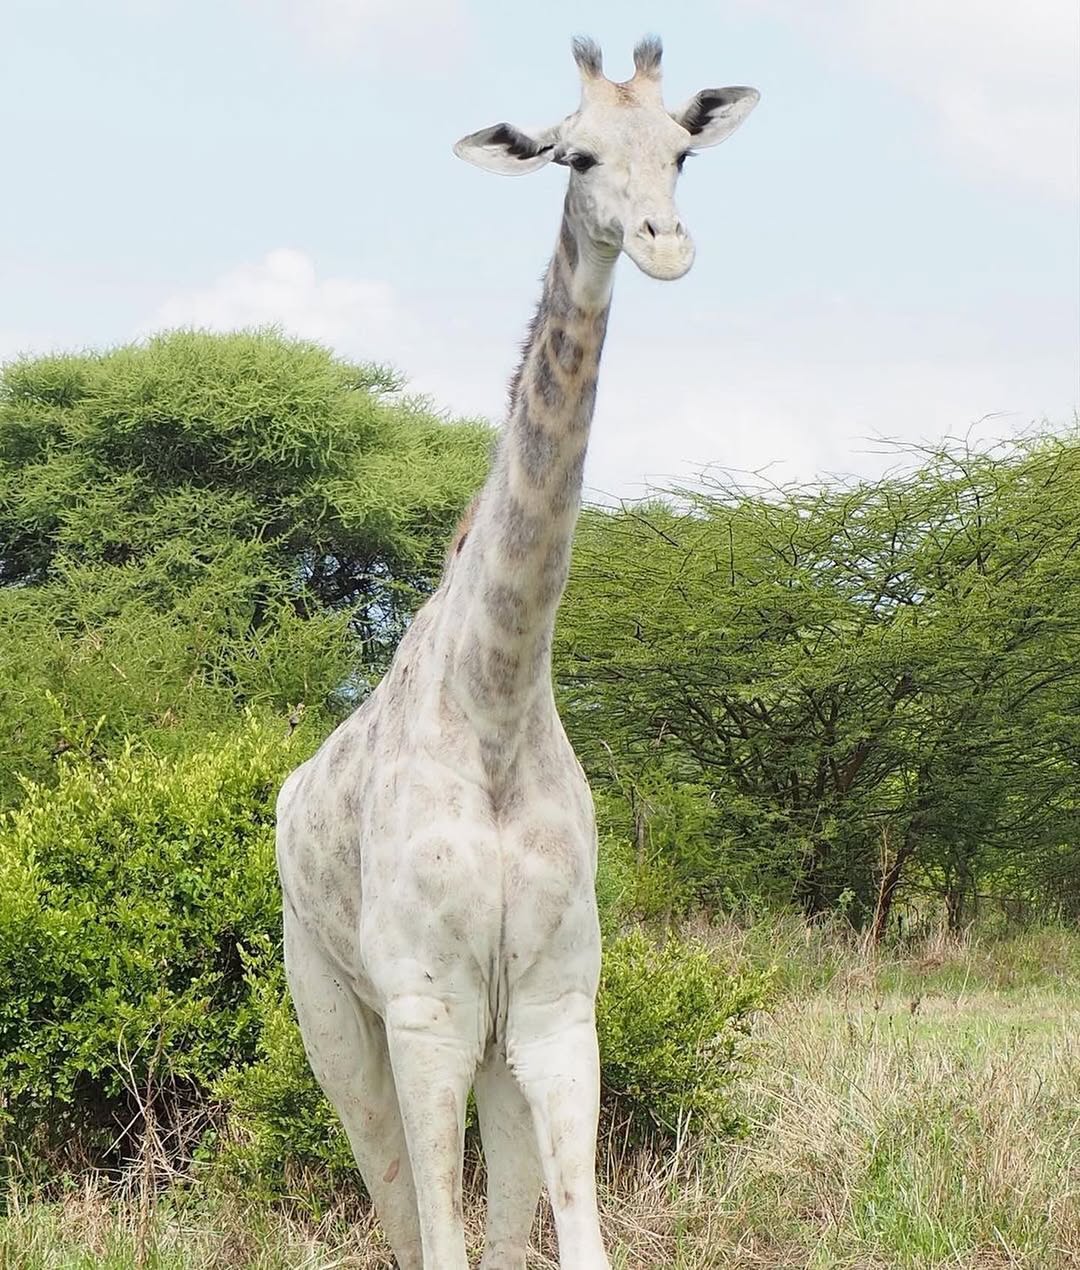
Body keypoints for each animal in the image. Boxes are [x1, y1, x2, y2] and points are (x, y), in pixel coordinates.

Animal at [275, 37, 758, 1270]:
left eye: (682, 152)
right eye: (573, 154)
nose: (664, 243)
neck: (494, 706)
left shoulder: (549, 1001)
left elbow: (571, 1228)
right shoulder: (426, 1005)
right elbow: (438, 1232)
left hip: (487, 1036)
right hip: (326, 1004)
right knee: (395, 1198)